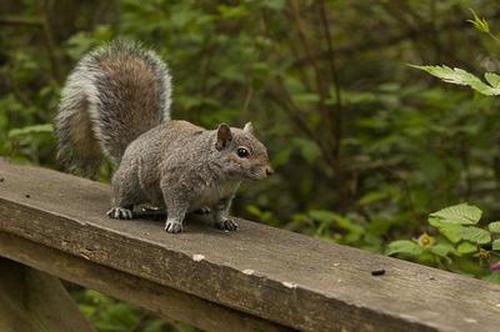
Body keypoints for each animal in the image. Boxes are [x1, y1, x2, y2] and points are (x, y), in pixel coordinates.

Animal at [54, 40, 274, 233]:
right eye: (242, 153)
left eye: (263, 147)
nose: (269, 171)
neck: (221, 176)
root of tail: (135, 142)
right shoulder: (175, 182)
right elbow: (176, 205)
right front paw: (174, 222)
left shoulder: (224, 196)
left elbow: (220, 212)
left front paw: (225, 221)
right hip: (130, 180)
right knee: (121, 192)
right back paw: (122, 209)